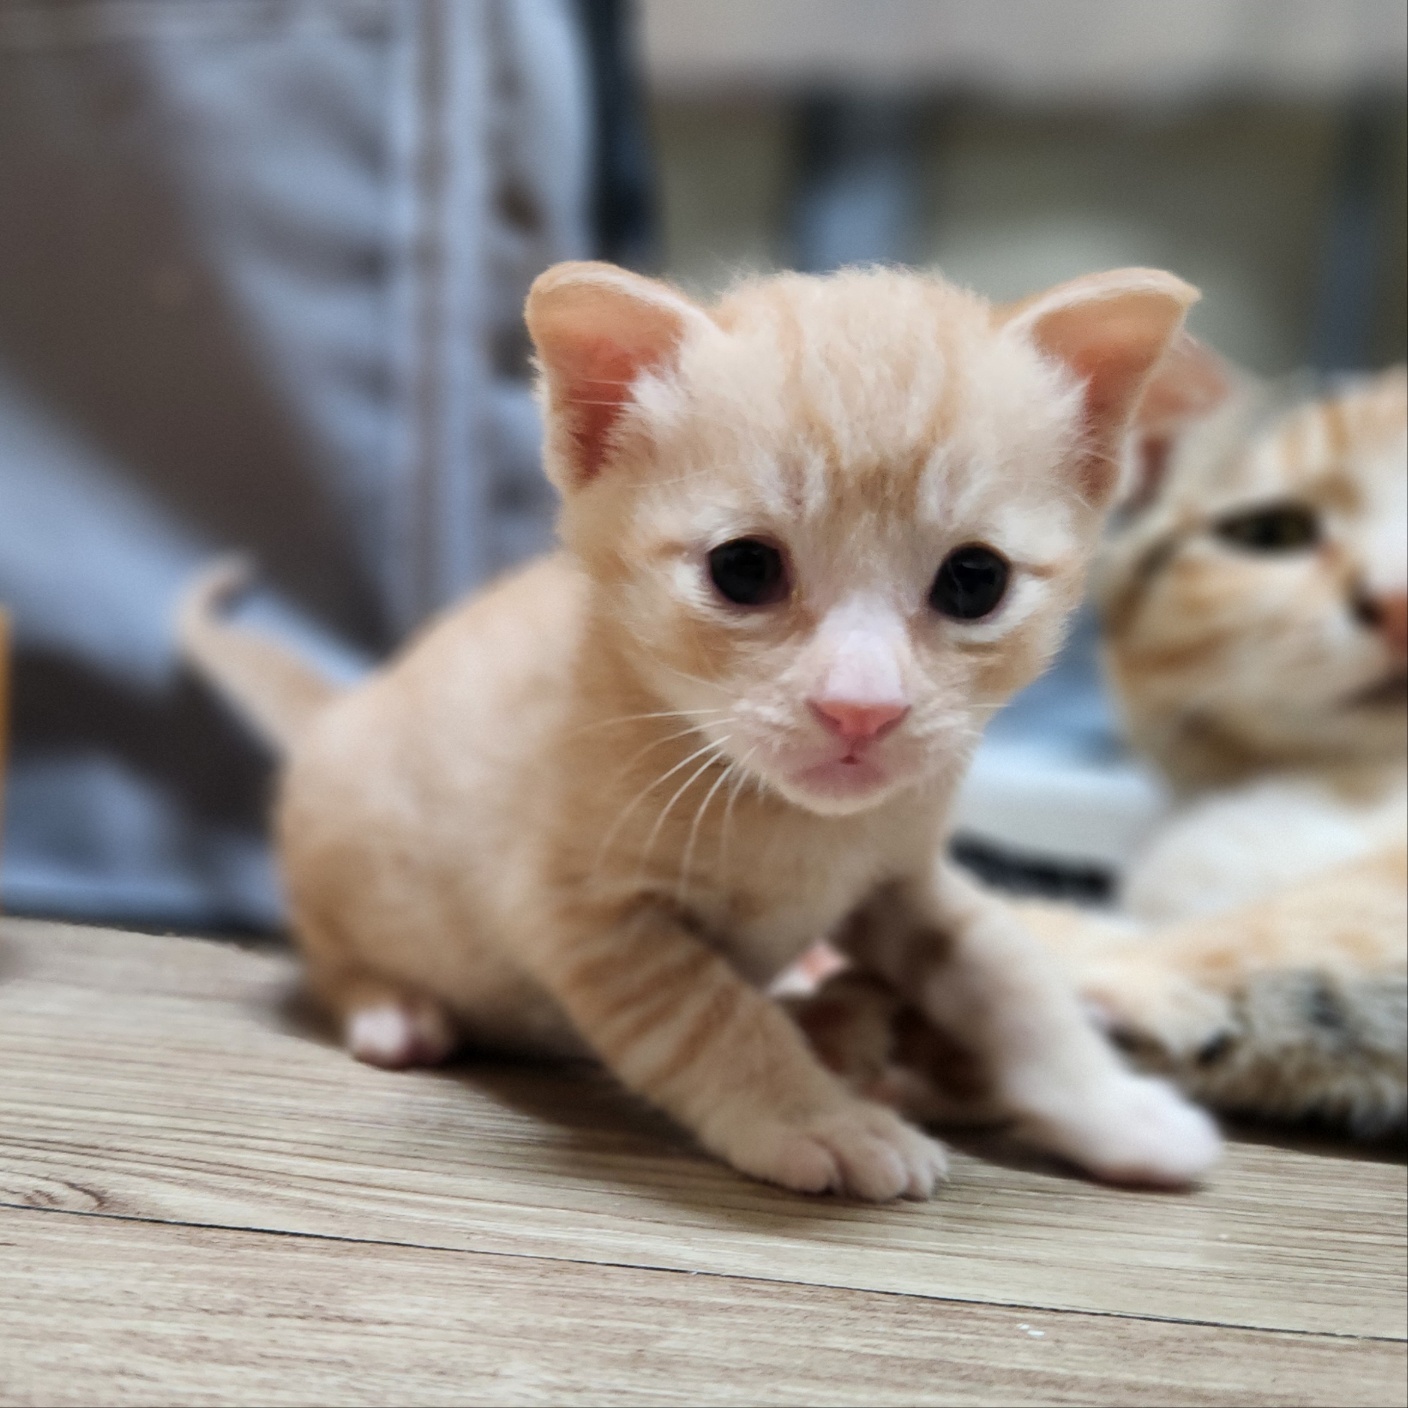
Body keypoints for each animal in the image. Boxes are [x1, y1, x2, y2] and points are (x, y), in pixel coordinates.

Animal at [184, 261, 1222, 1199]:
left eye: (975, 580)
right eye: (745, 569)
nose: (862, 706)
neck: (795, 828)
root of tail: (343, 707)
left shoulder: (907, 880)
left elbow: (1011, 976)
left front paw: (1115, 1109)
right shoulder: (584, 913)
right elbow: (716, 1017)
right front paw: (824, 1118)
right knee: (328, 955)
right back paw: (392, 1007)